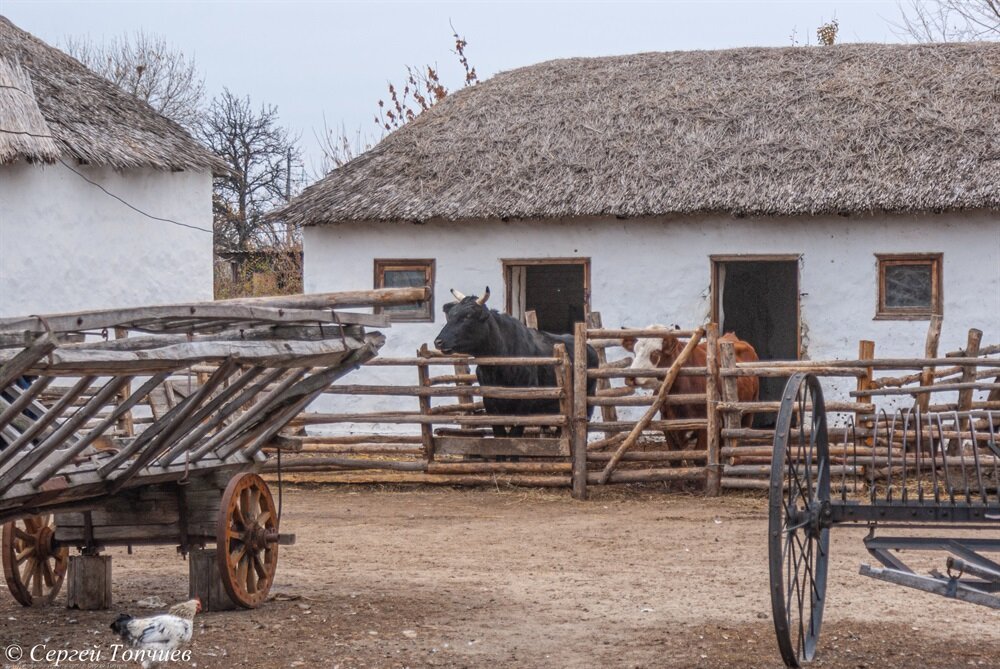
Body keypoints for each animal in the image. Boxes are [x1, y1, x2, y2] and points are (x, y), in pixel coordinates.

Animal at [430, 288, 592, 438]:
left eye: (468, 316)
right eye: (450, 315)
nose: (438, 341)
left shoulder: (524, 404)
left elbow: (514, 435)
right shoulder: (490, 404)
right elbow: (500, 435)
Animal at [620, 324, 760, 448]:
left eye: (655, 353)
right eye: (634, 352)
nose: (630, 377)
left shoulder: (705, 429)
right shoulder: (668, 427)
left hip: (748, 413)